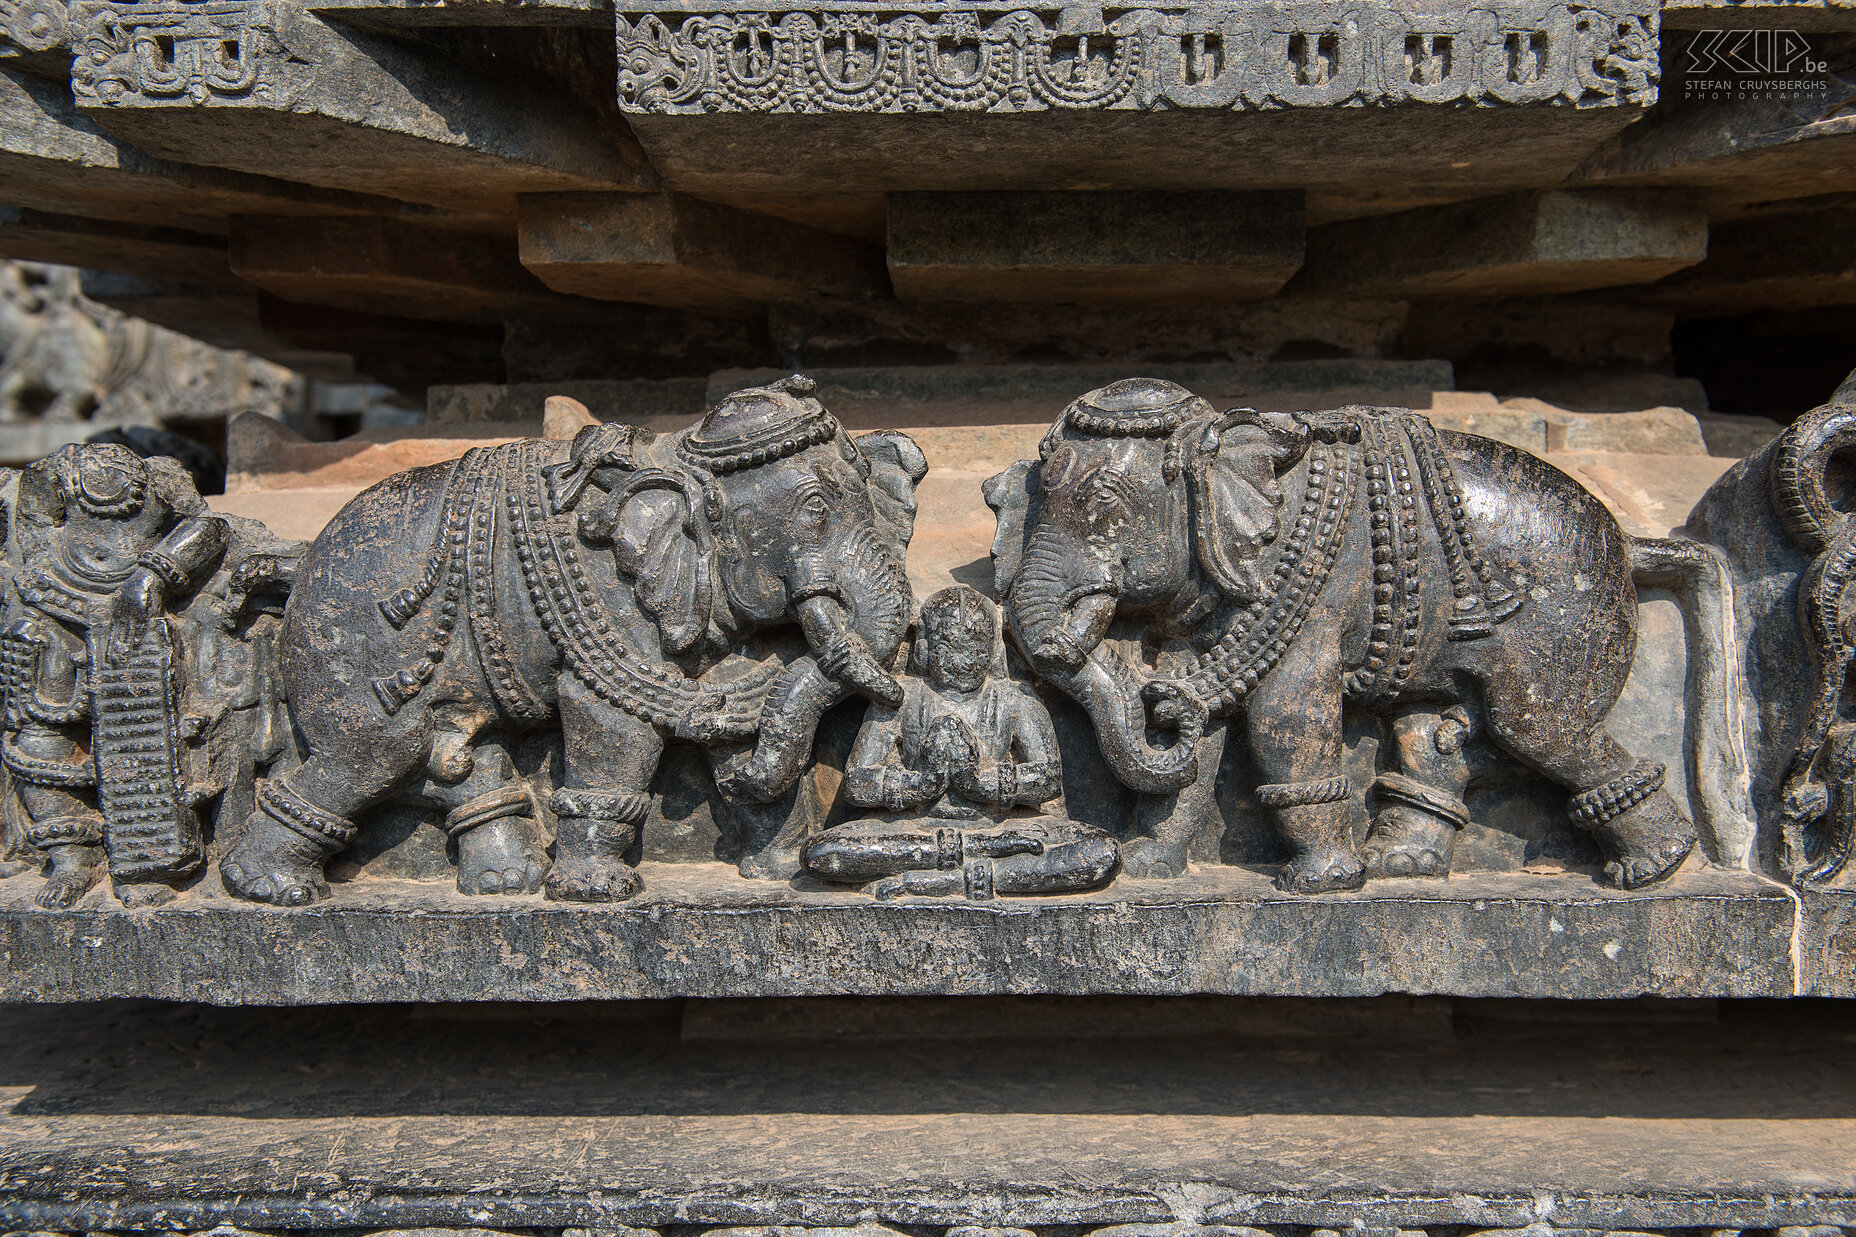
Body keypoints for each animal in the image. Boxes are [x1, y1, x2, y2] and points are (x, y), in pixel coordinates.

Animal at [224, 371, 928, 902]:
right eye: (815, 512)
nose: (897, 693)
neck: (675, 456)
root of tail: (295, 569)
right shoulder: (615, 599)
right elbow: (613, 723)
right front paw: (596, 891)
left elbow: (733, 710)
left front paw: (778, 868)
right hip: (346, 652)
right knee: (375, 751)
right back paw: (273, 888)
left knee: (457, 761)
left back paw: (506, 879)